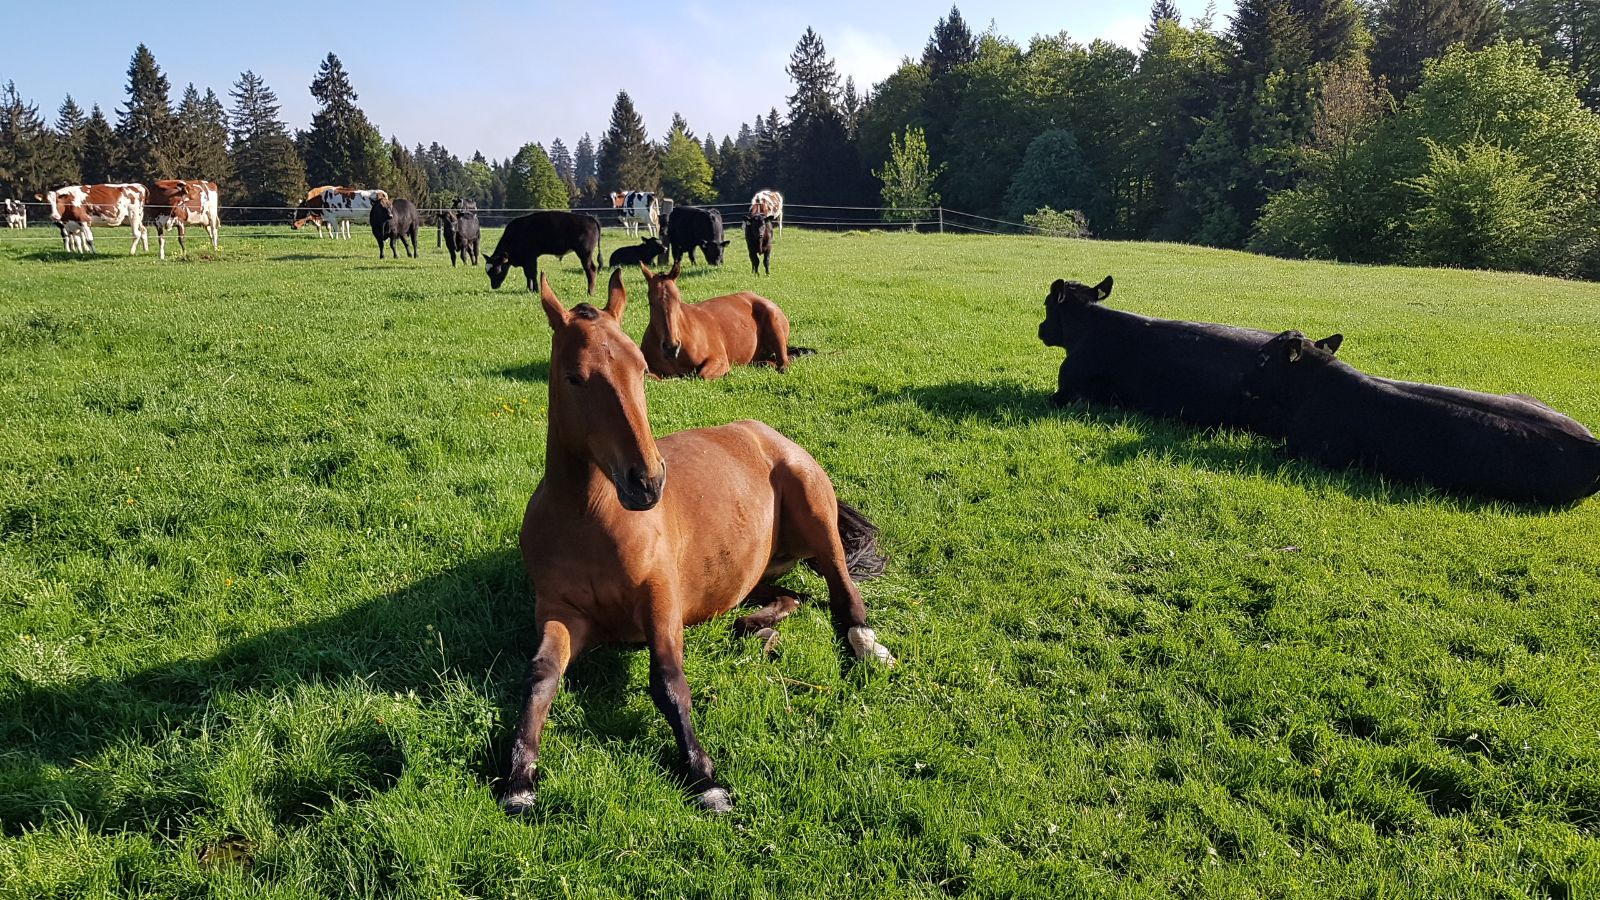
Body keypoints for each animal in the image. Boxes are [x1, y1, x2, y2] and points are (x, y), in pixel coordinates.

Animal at [639, 260, 803, 380]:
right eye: (651, 302)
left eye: (679, 300)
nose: (671, 347)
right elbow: (651, 377)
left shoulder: (718, 359)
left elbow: (700, 375)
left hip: (774, 323)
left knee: (784, 363)